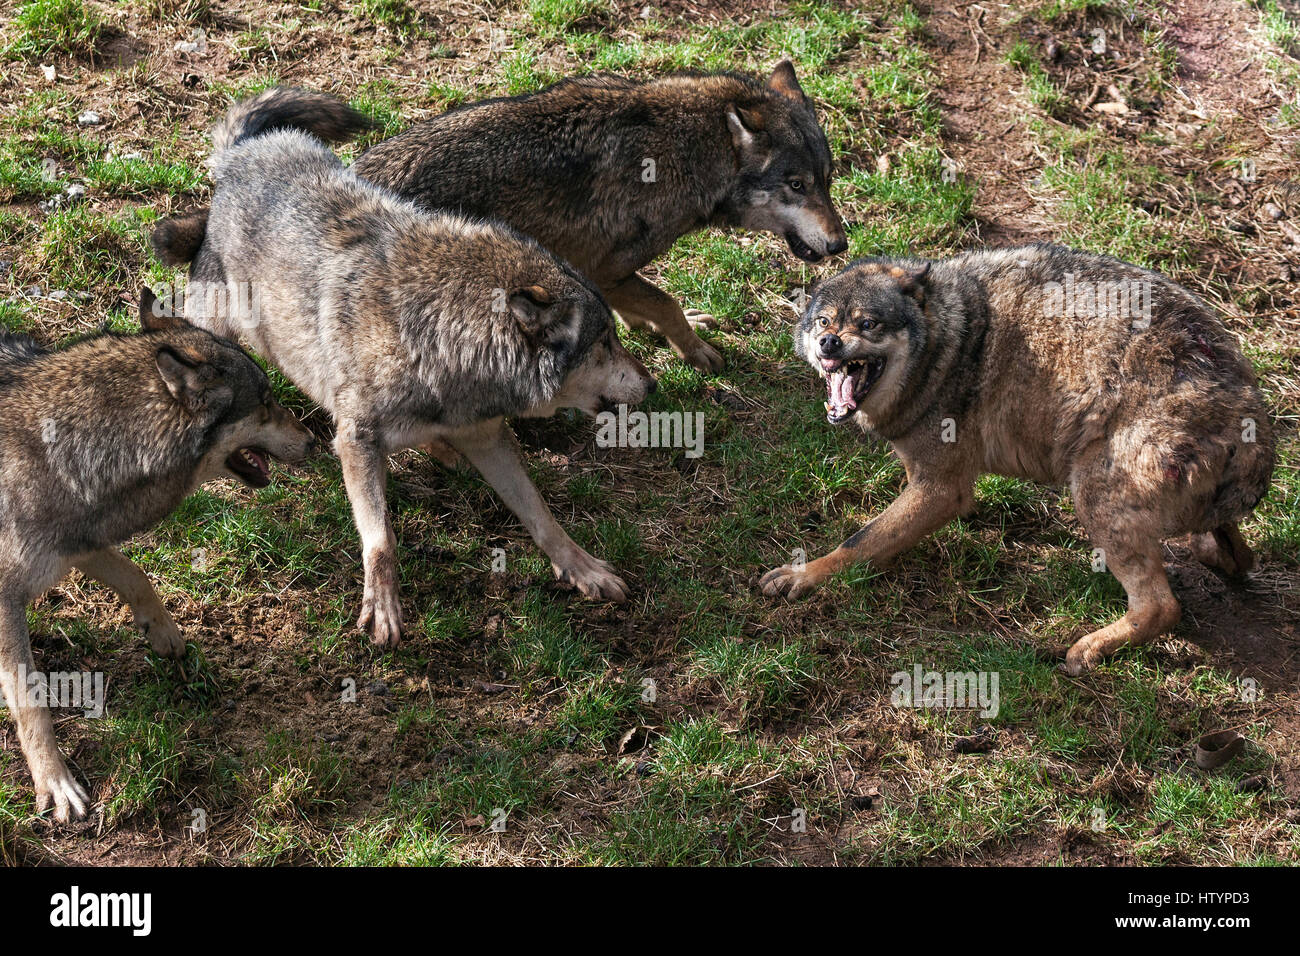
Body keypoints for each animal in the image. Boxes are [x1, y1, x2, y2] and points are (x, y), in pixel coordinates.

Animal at [0, 304, 314, 822]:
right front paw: (55, 782)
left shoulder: (82, 539)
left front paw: (164, 634)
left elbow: (137, 576)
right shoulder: (7, 598)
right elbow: (29, 696)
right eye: (266, 402)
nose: (312, 440)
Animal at [152, 87, 655, 650]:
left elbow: (540, 513)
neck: (442, 341)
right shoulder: (357, 441)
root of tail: (244, 152)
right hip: (218, 332)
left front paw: (583, 569)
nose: (654, 382)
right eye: (606, 341)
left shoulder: (487, 436)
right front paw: (384, 608)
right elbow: (382, 539)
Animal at [345, 60, 852, 374]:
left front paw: (651, 327)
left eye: (826, 180)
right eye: (797, 185)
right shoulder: (600, 268)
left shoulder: (609, 274)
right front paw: (694, 350)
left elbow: (646, 305)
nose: (841, 245)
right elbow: (664, 302)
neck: (690, 149)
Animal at [759, 248, 1279, 681]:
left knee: (1163, 607)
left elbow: (858, 542)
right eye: (823, 320)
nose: (828, 343)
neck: (952, 342)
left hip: (1092, 495)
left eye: (867, 325)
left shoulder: (939, 487)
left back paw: (1088, 649)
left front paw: (802, 577)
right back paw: (1213, 553)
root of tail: (1256, 433)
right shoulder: (935, 478)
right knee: (1235, 552)